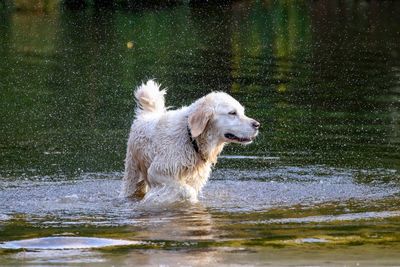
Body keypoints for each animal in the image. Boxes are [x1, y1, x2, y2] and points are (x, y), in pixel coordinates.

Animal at [121, 80, 260, 204]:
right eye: (232, 113)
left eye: (242, 112)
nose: (257, 125)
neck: (191, 138)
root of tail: (147, 114)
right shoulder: (157, 171)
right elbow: (187, 190)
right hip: (133, 174)